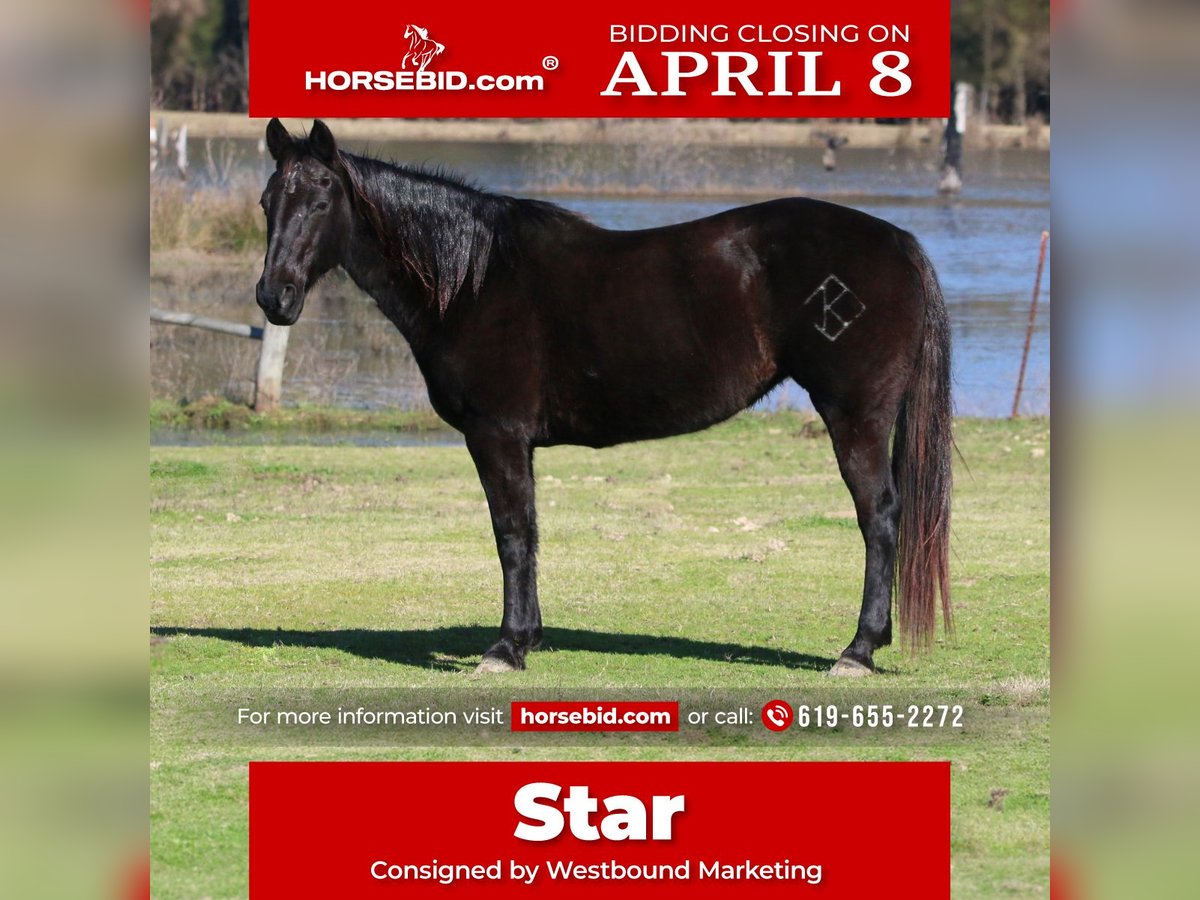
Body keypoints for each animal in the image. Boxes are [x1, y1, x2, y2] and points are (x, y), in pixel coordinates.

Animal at [255, 119, 953, 676]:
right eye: (268, 202)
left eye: (321, 200)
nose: (273, 297)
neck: (474, 279)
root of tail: (900, 243)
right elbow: (527, 530)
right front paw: (528, 637)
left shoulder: (496, 433)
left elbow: (511, 532)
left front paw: (506, 648)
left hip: (856, 415)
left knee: (879, 517)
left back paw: (858, 650)